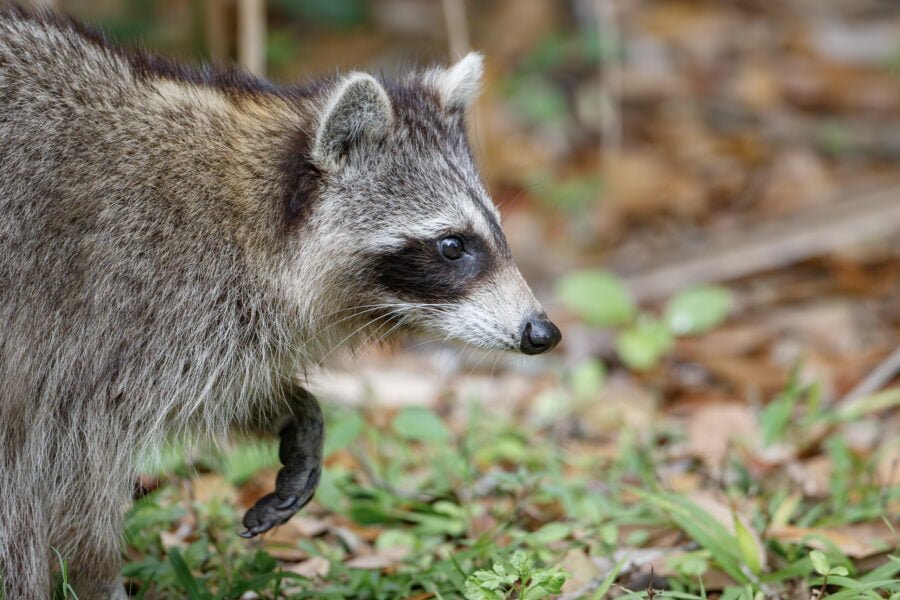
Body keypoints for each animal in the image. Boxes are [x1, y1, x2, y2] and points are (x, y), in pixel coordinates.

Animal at [0, 7, 560, 596]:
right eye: (453, 246)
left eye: (496, 231)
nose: (542, 332)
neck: (255, 209)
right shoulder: (114, 312)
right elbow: (74, 472)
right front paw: (95, 573)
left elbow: (218, 392)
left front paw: (291, 408)